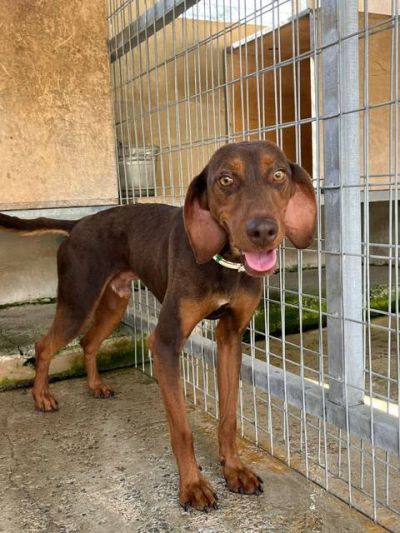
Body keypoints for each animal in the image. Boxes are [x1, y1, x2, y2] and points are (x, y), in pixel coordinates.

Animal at [0, 140, 316, 511]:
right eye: (225, 180)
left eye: (279, 174)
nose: (263, 231)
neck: (222, 262)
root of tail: (78, 223)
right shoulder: (165, 343)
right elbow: (182, 430)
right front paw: (193, 486)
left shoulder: (230, 338)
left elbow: (228, 418)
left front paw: (235, 470)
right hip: (78, 302)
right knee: (45, 345)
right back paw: (41, 397)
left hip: (114, 303)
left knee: (89, 342)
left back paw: (95, 386)